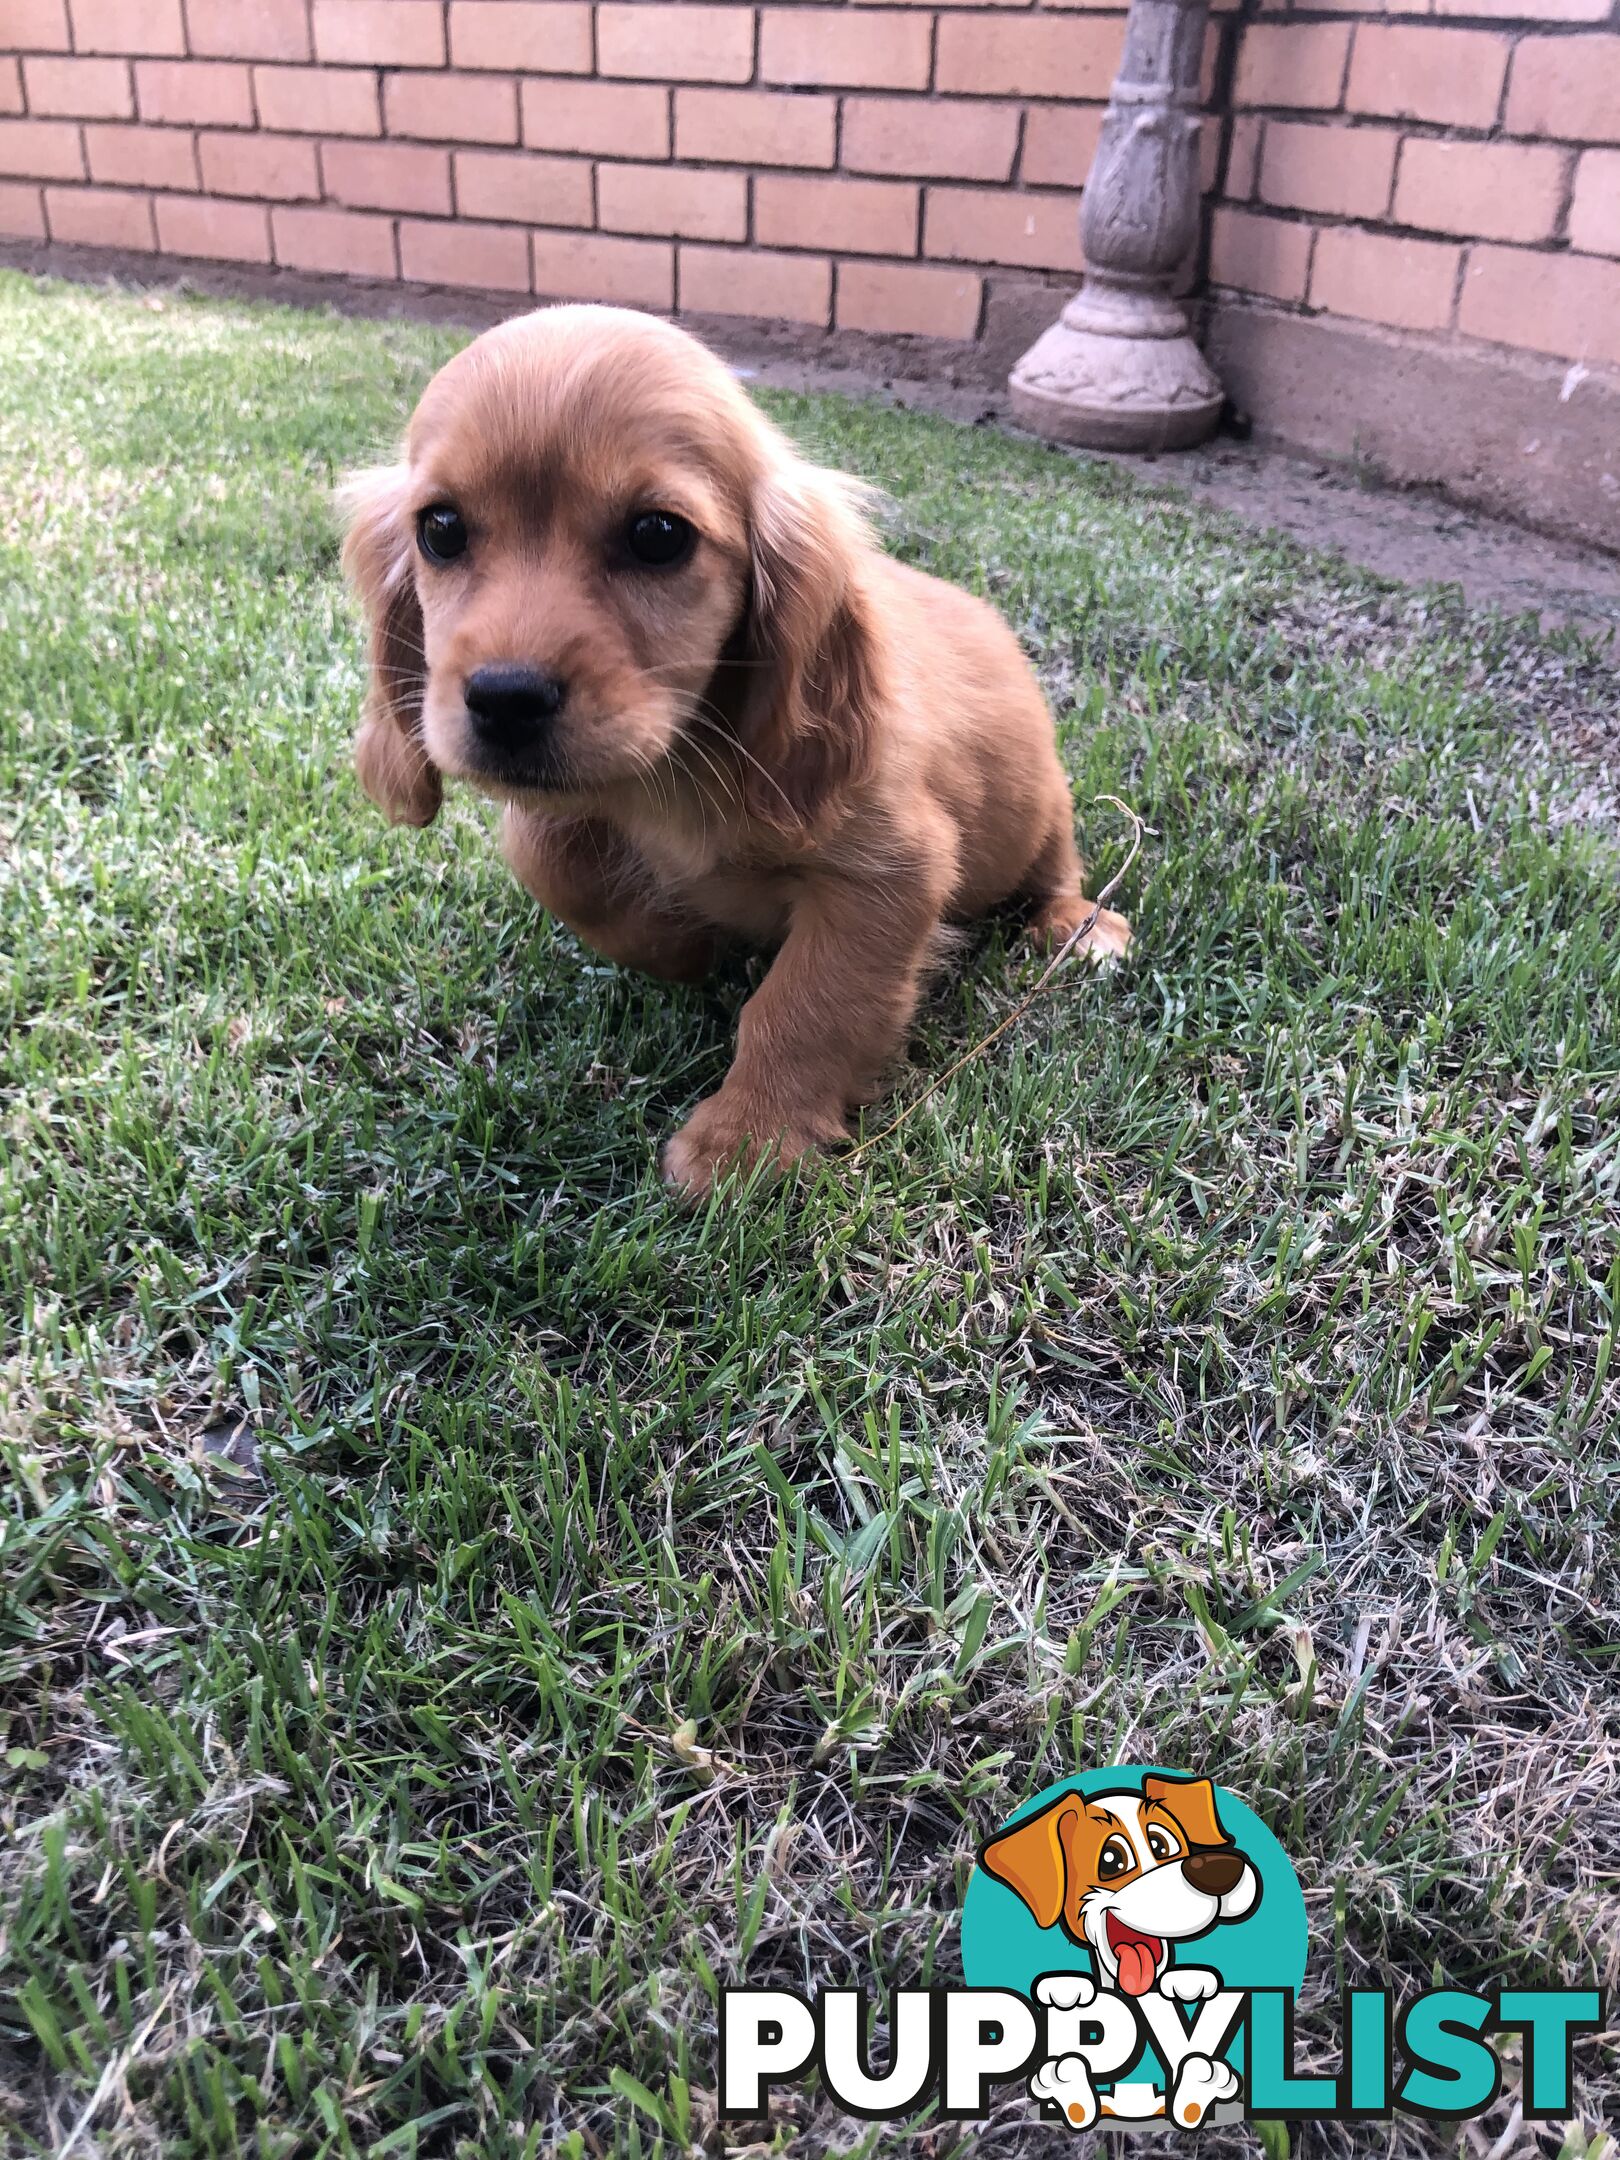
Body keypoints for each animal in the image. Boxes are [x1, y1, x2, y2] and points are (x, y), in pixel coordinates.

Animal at [343, 308, 1131, 1200]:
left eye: (658, 536)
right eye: (439, 529)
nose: (505, 700)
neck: (676, 769)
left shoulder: (889, 870)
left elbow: (807, 1004)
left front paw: (746, 1140)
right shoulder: (571, 810)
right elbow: (551, 856)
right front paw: (680, 945)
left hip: (1044, 804)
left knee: (1057, 868)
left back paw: (1079, 927)